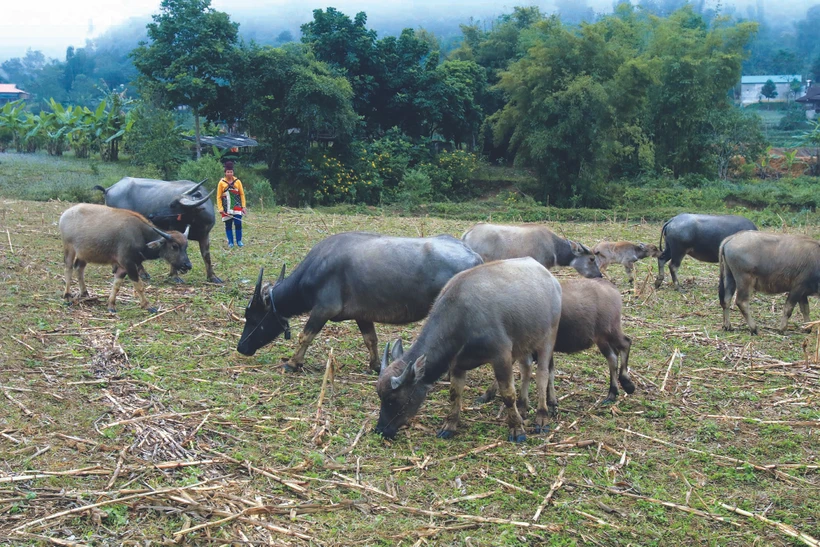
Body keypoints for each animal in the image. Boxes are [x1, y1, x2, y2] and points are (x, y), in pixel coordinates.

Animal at [60, 202, 191, 312]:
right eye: (174, 246)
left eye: (186, 247)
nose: (188, 265)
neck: (141, 235)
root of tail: (65, 214)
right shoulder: (129, 264)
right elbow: (139, 286)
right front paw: (147, 306)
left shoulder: (123, 267)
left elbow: (116, 285)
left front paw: (111, 305)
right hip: (69, 247)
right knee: (68, 269)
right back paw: (67, 296)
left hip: (84, 253)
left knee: (79, 268)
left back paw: (85, 293)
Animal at [234, 233, 484, 374]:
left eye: (253, 317)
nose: (241, 347)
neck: (317, 269)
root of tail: (474, 256)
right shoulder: (362, 316)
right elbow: (370, 339)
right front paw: (374, 365)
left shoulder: (323, 309)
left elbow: (305, 336)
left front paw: (293, 363)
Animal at [376, 260, 564, 444]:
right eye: (380, 397)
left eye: (393, 399)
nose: (381, 430)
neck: (463, 318)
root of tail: (549, 277)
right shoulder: (457, 363)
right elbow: (455, 393)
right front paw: (449, 425)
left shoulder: (501, 356)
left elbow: (508, 394)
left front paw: (517, 429)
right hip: (523, 342)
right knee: (526, 368)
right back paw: (523, 407)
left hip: (548, 337)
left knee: (542, 374)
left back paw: (542, 416)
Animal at [478, 280, 632, 408]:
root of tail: (612, 289)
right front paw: (486, 395)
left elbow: (547, 373)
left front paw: (550, 403)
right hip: (601, 339)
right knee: (612, 357)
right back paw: (612, 393)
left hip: (609, 331)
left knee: (625, 344)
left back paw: (627, 383)